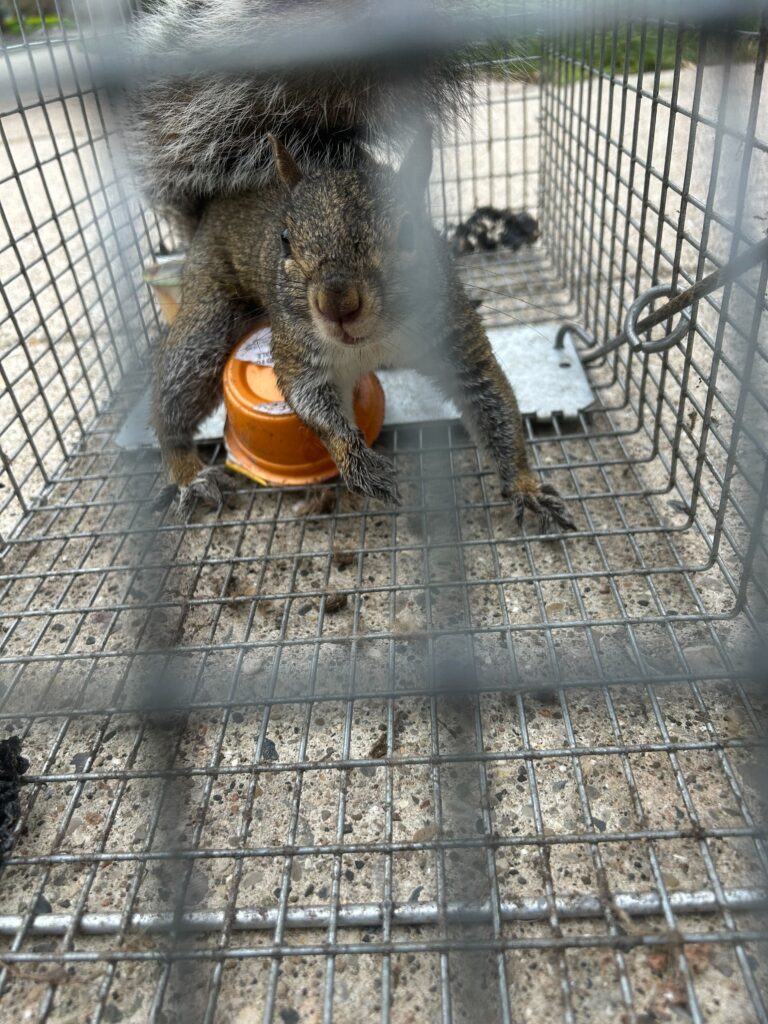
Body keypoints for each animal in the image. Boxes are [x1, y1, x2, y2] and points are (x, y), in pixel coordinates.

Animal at [129, 0, 575, 531]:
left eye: (411, 234)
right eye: (284, 239)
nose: (337, 303)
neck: (373, 343)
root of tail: (212, 210)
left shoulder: (453, 334)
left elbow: (495, 404)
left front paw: (527, 488)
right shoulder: (297, 349)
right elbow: (311, 404)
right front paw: (359, 465)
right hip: (208, 318)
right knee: (172, 400)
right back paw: (187, 473)